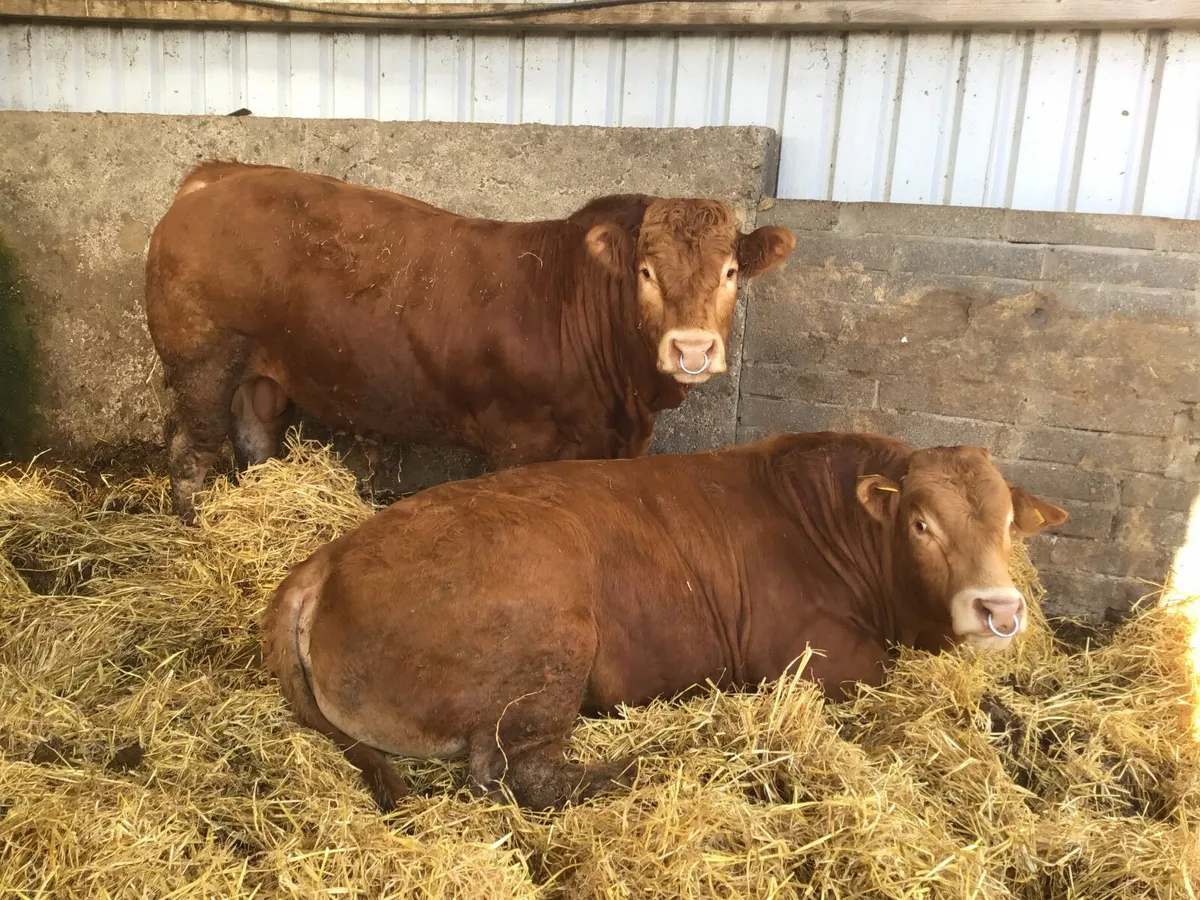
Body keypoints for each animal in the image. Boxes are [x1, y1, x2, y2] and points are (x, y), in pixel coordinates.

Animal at [143, 161, 796, 523]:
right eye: (646, 273)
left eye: (730, 272)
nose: (692, 350)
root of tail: (215, 178)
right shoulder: (518, 442)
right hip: (201, 365)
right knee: (189, 452)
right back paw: (195, 527)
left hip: (261, 374)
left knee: (254, 438)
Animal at [261, 431, 1067, 812]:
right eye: (922, 524)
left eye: (1007, 523)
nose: (1000, 608)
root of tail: (327, 558)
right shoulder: (819, 659)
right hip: (549, 637)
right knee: (516, 773)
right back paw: (647, 764)